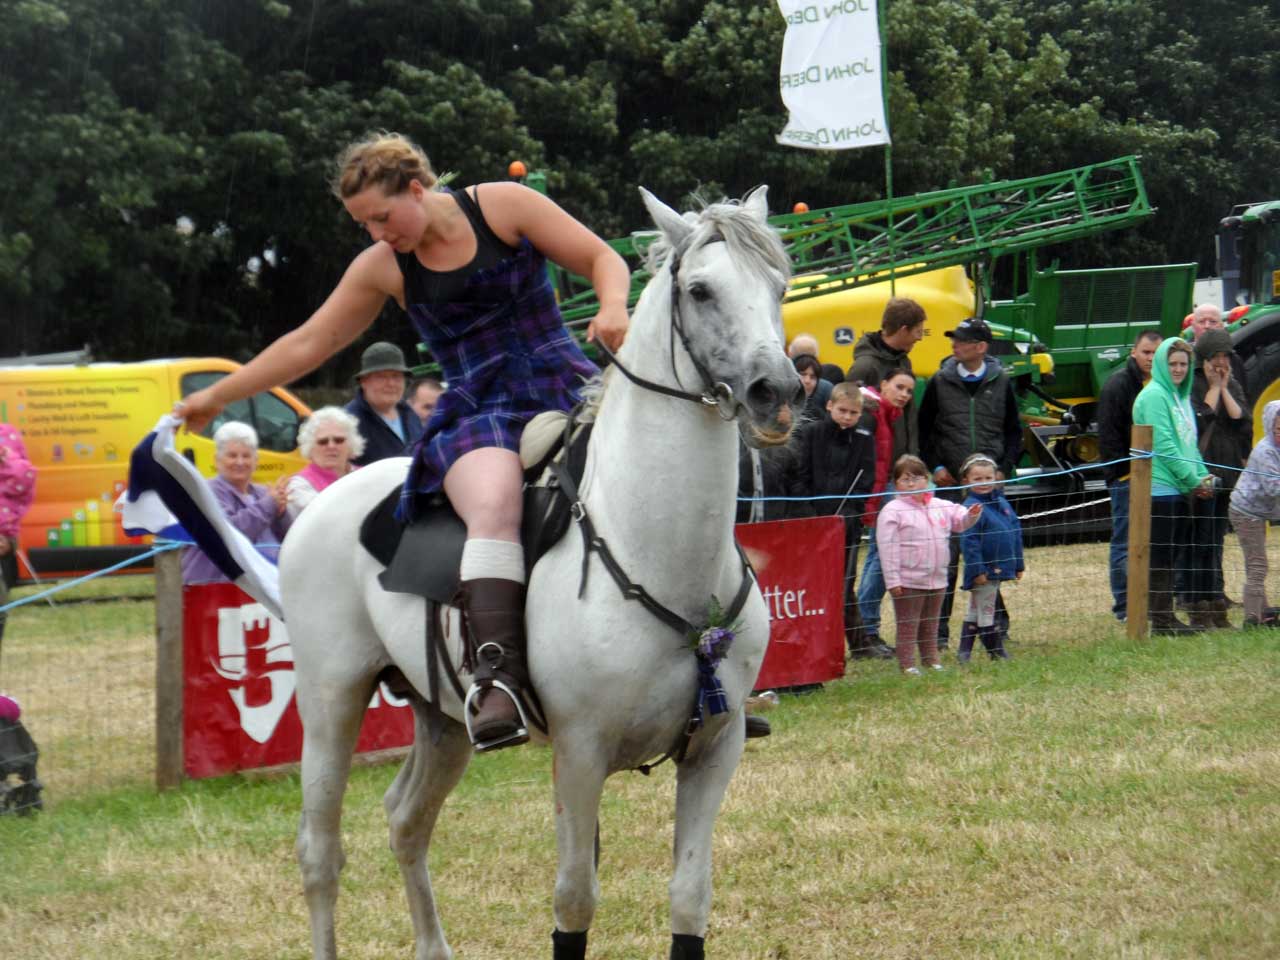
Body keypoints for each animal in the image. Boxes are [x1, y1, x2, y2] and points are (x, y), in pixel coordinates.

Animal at [282, 188, 798, 960]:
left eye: (778, 285)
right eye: (701, 290)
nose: (779, 390)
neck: (661, 549)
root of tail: (320, 504)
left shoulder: (716, 745)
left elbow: (689, 896)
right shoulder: (581, 756)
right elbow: (575, 901)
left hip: (441, 720)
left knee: (406, 820)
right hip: (331, 703)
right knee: (320, 852)